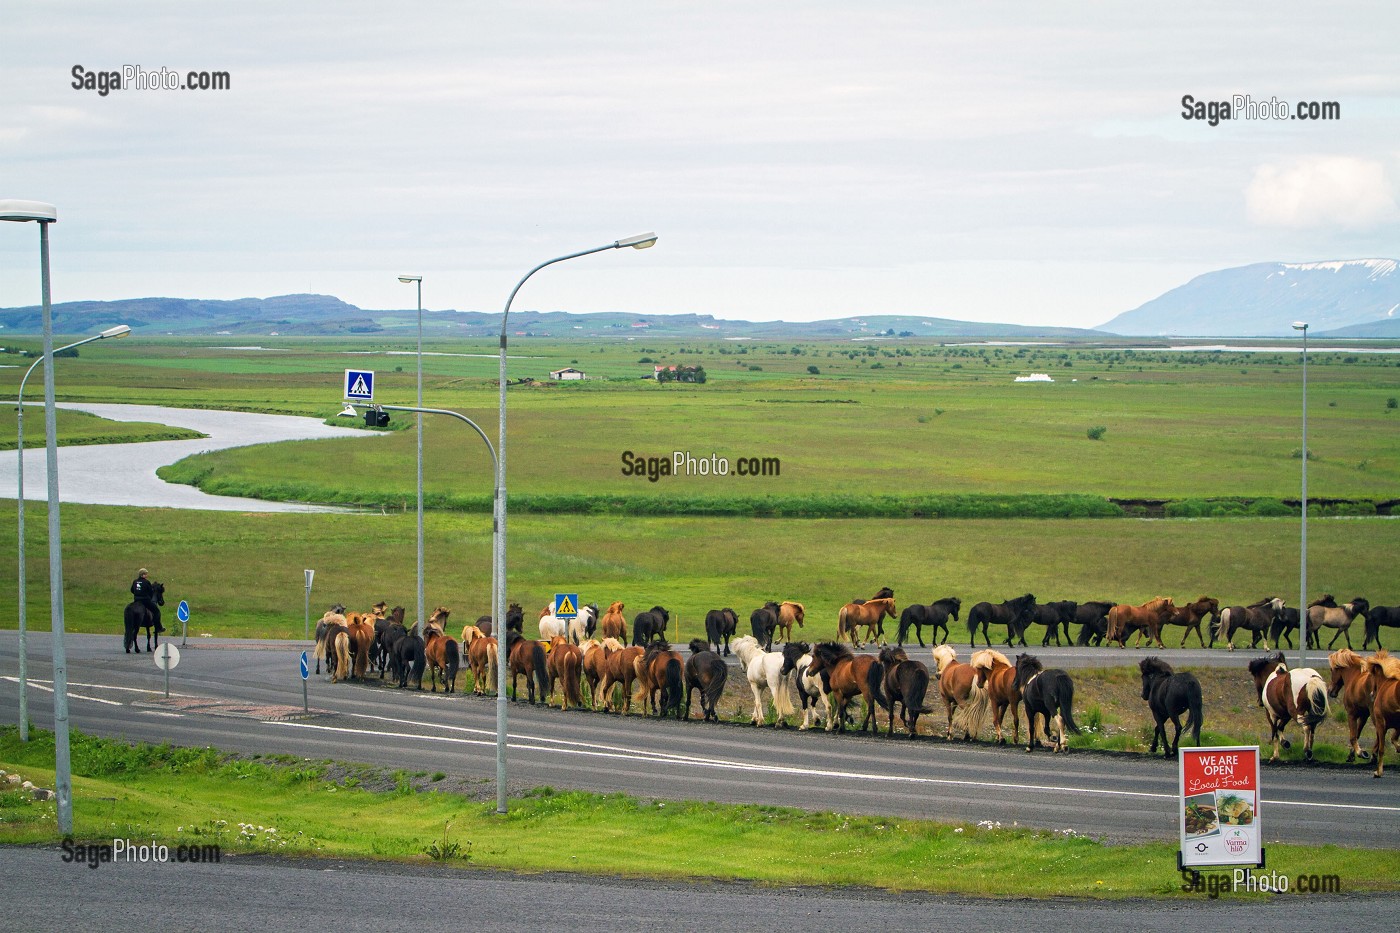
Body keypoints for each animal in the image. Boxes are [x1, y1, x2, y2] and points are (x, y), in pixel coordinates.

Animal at [1360, 647, 1400, 778]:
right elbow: (1393, 739)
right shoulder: (1397, 726)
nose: (1372, 694)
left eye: (1371, 675)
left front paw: (1378, 772)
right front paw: (1399, 749)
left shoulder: (1381, 724)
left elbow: (1381, 749)